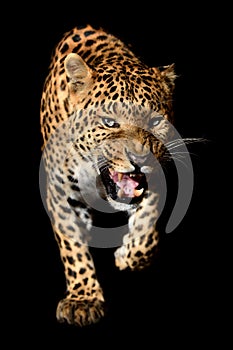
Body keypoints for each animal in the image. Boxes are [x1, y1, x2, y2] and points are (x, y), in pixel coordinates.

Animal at [39, 23, 180, 326]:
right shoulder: (61, 191)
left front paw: (127, 255)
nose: (140, 159)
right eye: (109, 122)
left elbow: (146, 231)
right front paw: (83, 299)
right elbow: (73, 248)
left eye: (155, 121)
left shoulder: (154, 182)